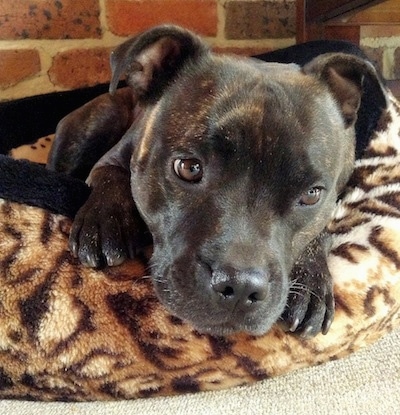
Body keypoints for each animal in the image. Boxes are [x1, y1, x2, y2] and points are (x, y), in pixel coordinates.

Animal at [47, 25, 388, 338]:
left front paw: (310, 279)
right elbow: (111, 178)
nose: (240, 286)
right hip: (94, 124)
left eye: (312, 195)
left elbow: (319, 231)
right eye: (188, 168)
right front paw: (103, 222)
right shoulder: (110, 161)